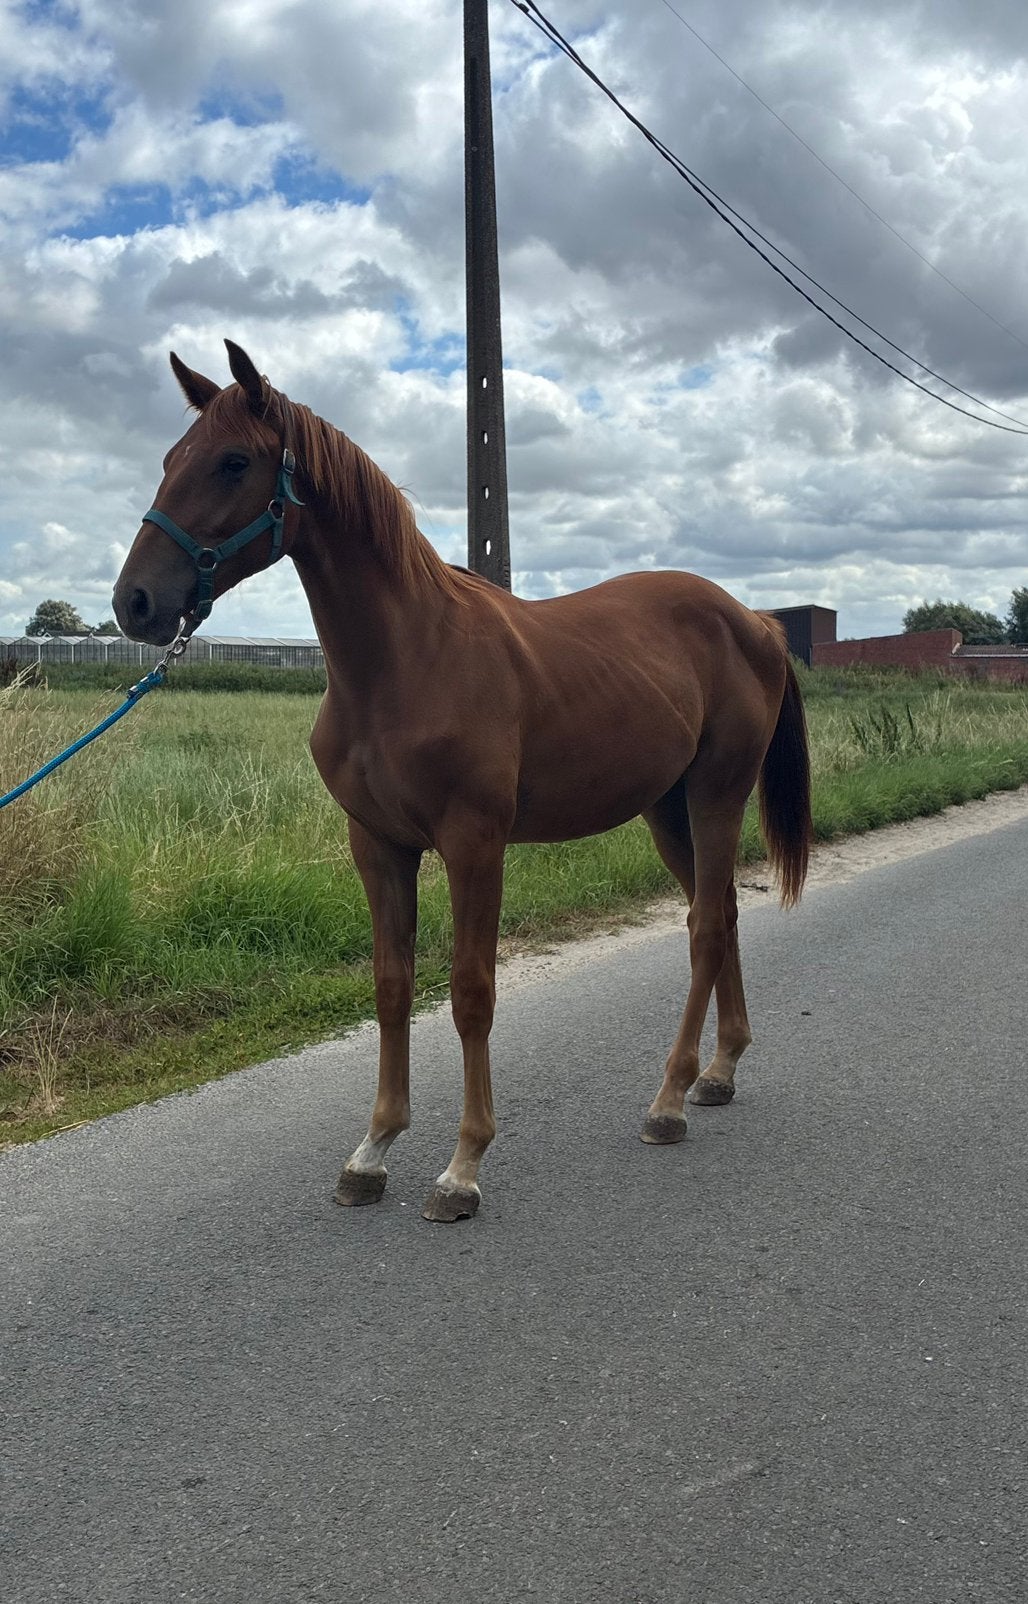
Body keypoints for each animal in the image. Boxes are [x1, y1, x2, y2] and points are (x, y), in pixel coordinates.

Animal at [113, 340, 812, 1223]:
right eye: (172, 459)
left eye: (233, 461)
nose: (134, 602)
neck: (406, 660)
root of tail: (755, 622)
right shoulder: (378, 846)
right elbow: (391, 986)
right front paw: (373, 1150)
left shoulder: (475, 844)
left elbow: (472, 992)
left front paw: (463, 1165)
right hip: (666, 810)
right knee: (719, 913)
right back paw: (718, 1073)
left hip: (716, 795)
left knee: (706, 930)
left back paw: (669, 1100)